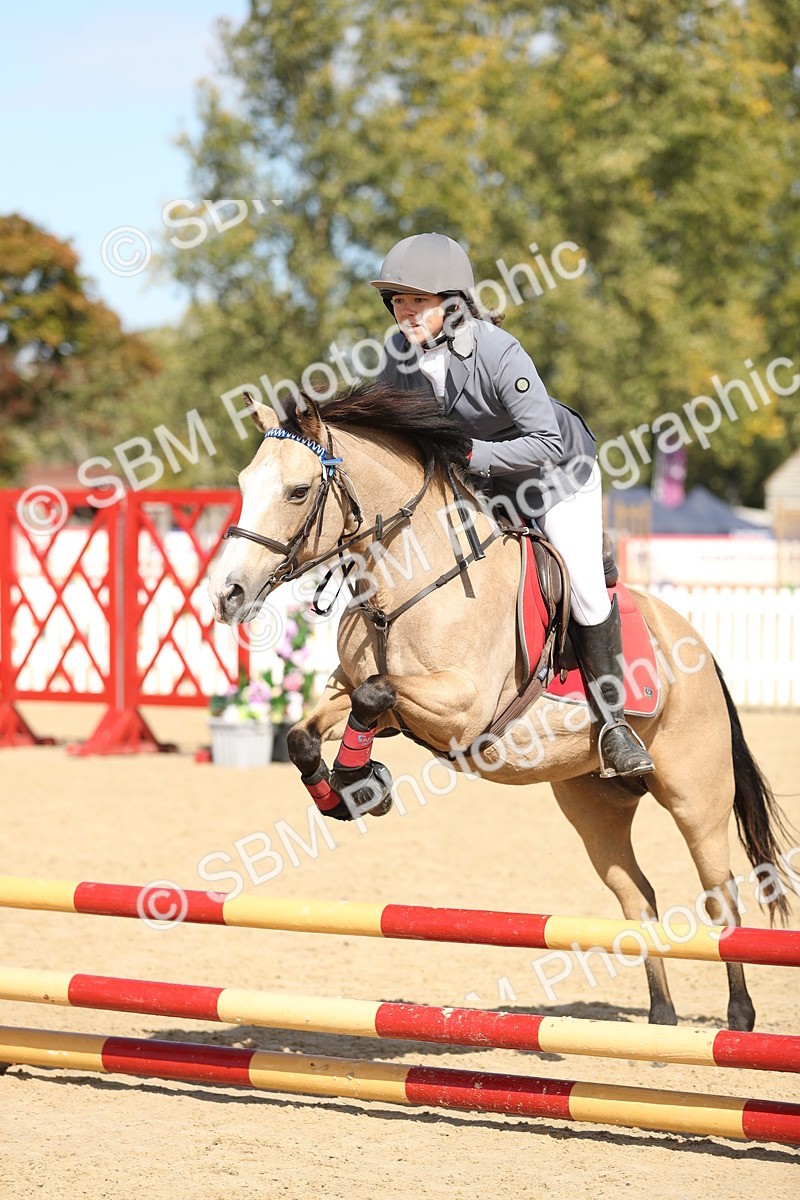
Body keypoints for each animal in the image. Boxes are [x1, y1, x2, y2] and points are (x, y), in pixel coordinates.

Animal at [208, 381, 791, 1032]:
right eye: (244, 482)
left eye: (298, 490)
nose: (226, 595)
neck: (409, 577)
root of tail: (695, 642)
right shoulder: (353, 690)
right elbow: (307, 732)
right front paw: (351, 791)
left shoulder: (462, 708)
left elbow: (374, 693)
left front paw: (363, 782)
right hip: (596, 808)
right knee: (637, 898)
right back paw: (661, 1016)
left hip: (695, 797)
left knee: (721, 896)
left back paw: (738, 1016)